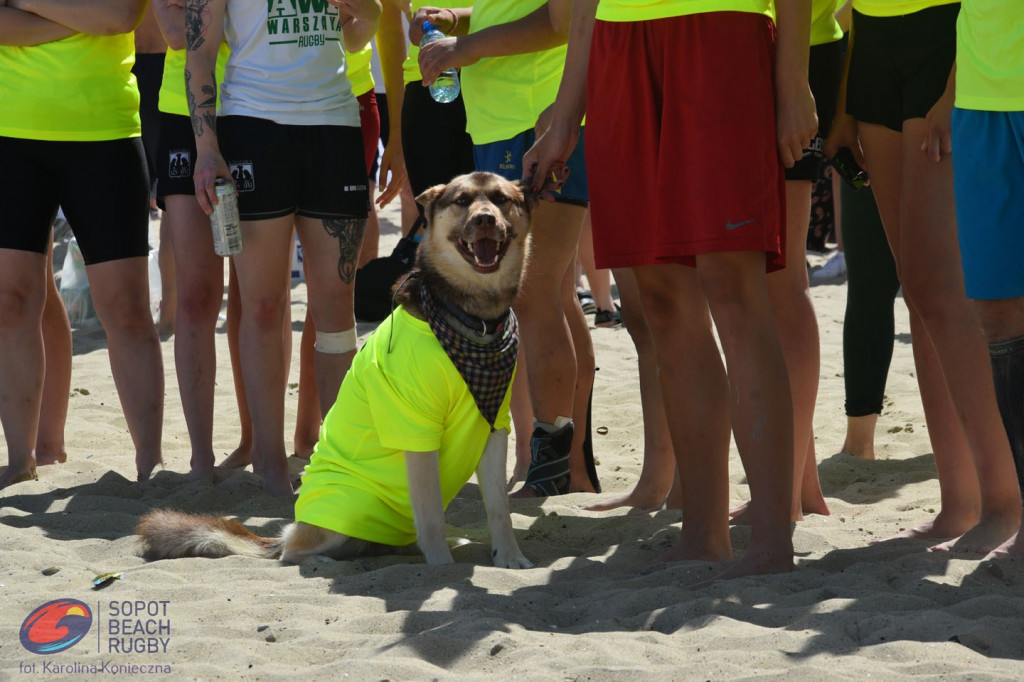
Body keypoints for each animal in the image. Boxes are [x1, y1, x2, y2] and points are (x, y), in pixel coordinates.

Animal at [135, 171, 532, 569]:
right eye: (462, 201)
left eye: (500, 199)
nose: (486, 219)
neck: (470, 321)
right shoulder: (415, 431)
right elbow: (432, 514)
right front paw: (442, 569)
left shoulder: (494, 426)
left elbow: (499, 508)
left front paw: (510, 557)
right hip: (345, 507)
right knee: (295, 550)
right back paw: (325, 558)